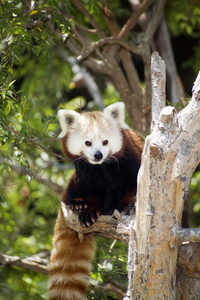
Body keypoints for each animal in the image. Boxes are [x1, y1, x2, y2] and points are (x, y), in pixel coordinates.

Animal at [47, 102, 144, 300]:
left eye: (105, 141)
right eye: (88, 143)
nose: (98, 155)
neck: (102, 168)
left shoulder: (132, 163)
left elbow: (133, 188)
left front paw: (126, 207)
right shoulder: (86, 174)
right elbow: (93, 193)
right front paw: (89, 212)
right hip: (73, 183)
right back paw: (78, 203)